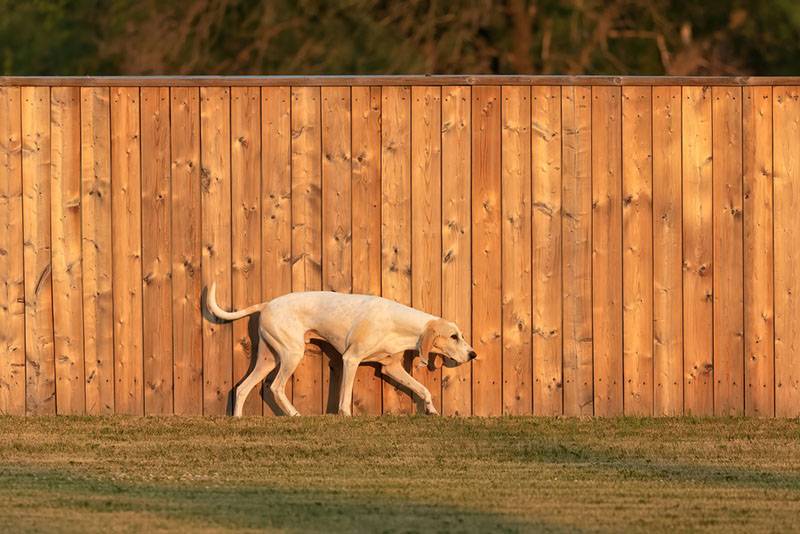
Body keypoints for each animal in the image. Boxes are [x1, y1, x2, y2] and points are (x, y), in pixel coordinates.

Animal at [205, 284, 476, 418]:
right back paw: (294, 415)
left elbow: (423, 389)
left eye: (461, 334)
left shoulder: (391, 367)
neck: (398, 324)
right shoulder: (351, 359)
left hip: (267, 358)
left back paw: (238, 419)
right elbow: (345, 393)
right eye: (454, 336)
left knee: (242, 388)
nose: (473, 354)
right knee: (276, 387)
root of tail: (268, 304)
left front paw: (431, 410)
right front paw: (345, 415)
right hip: (292, 354)